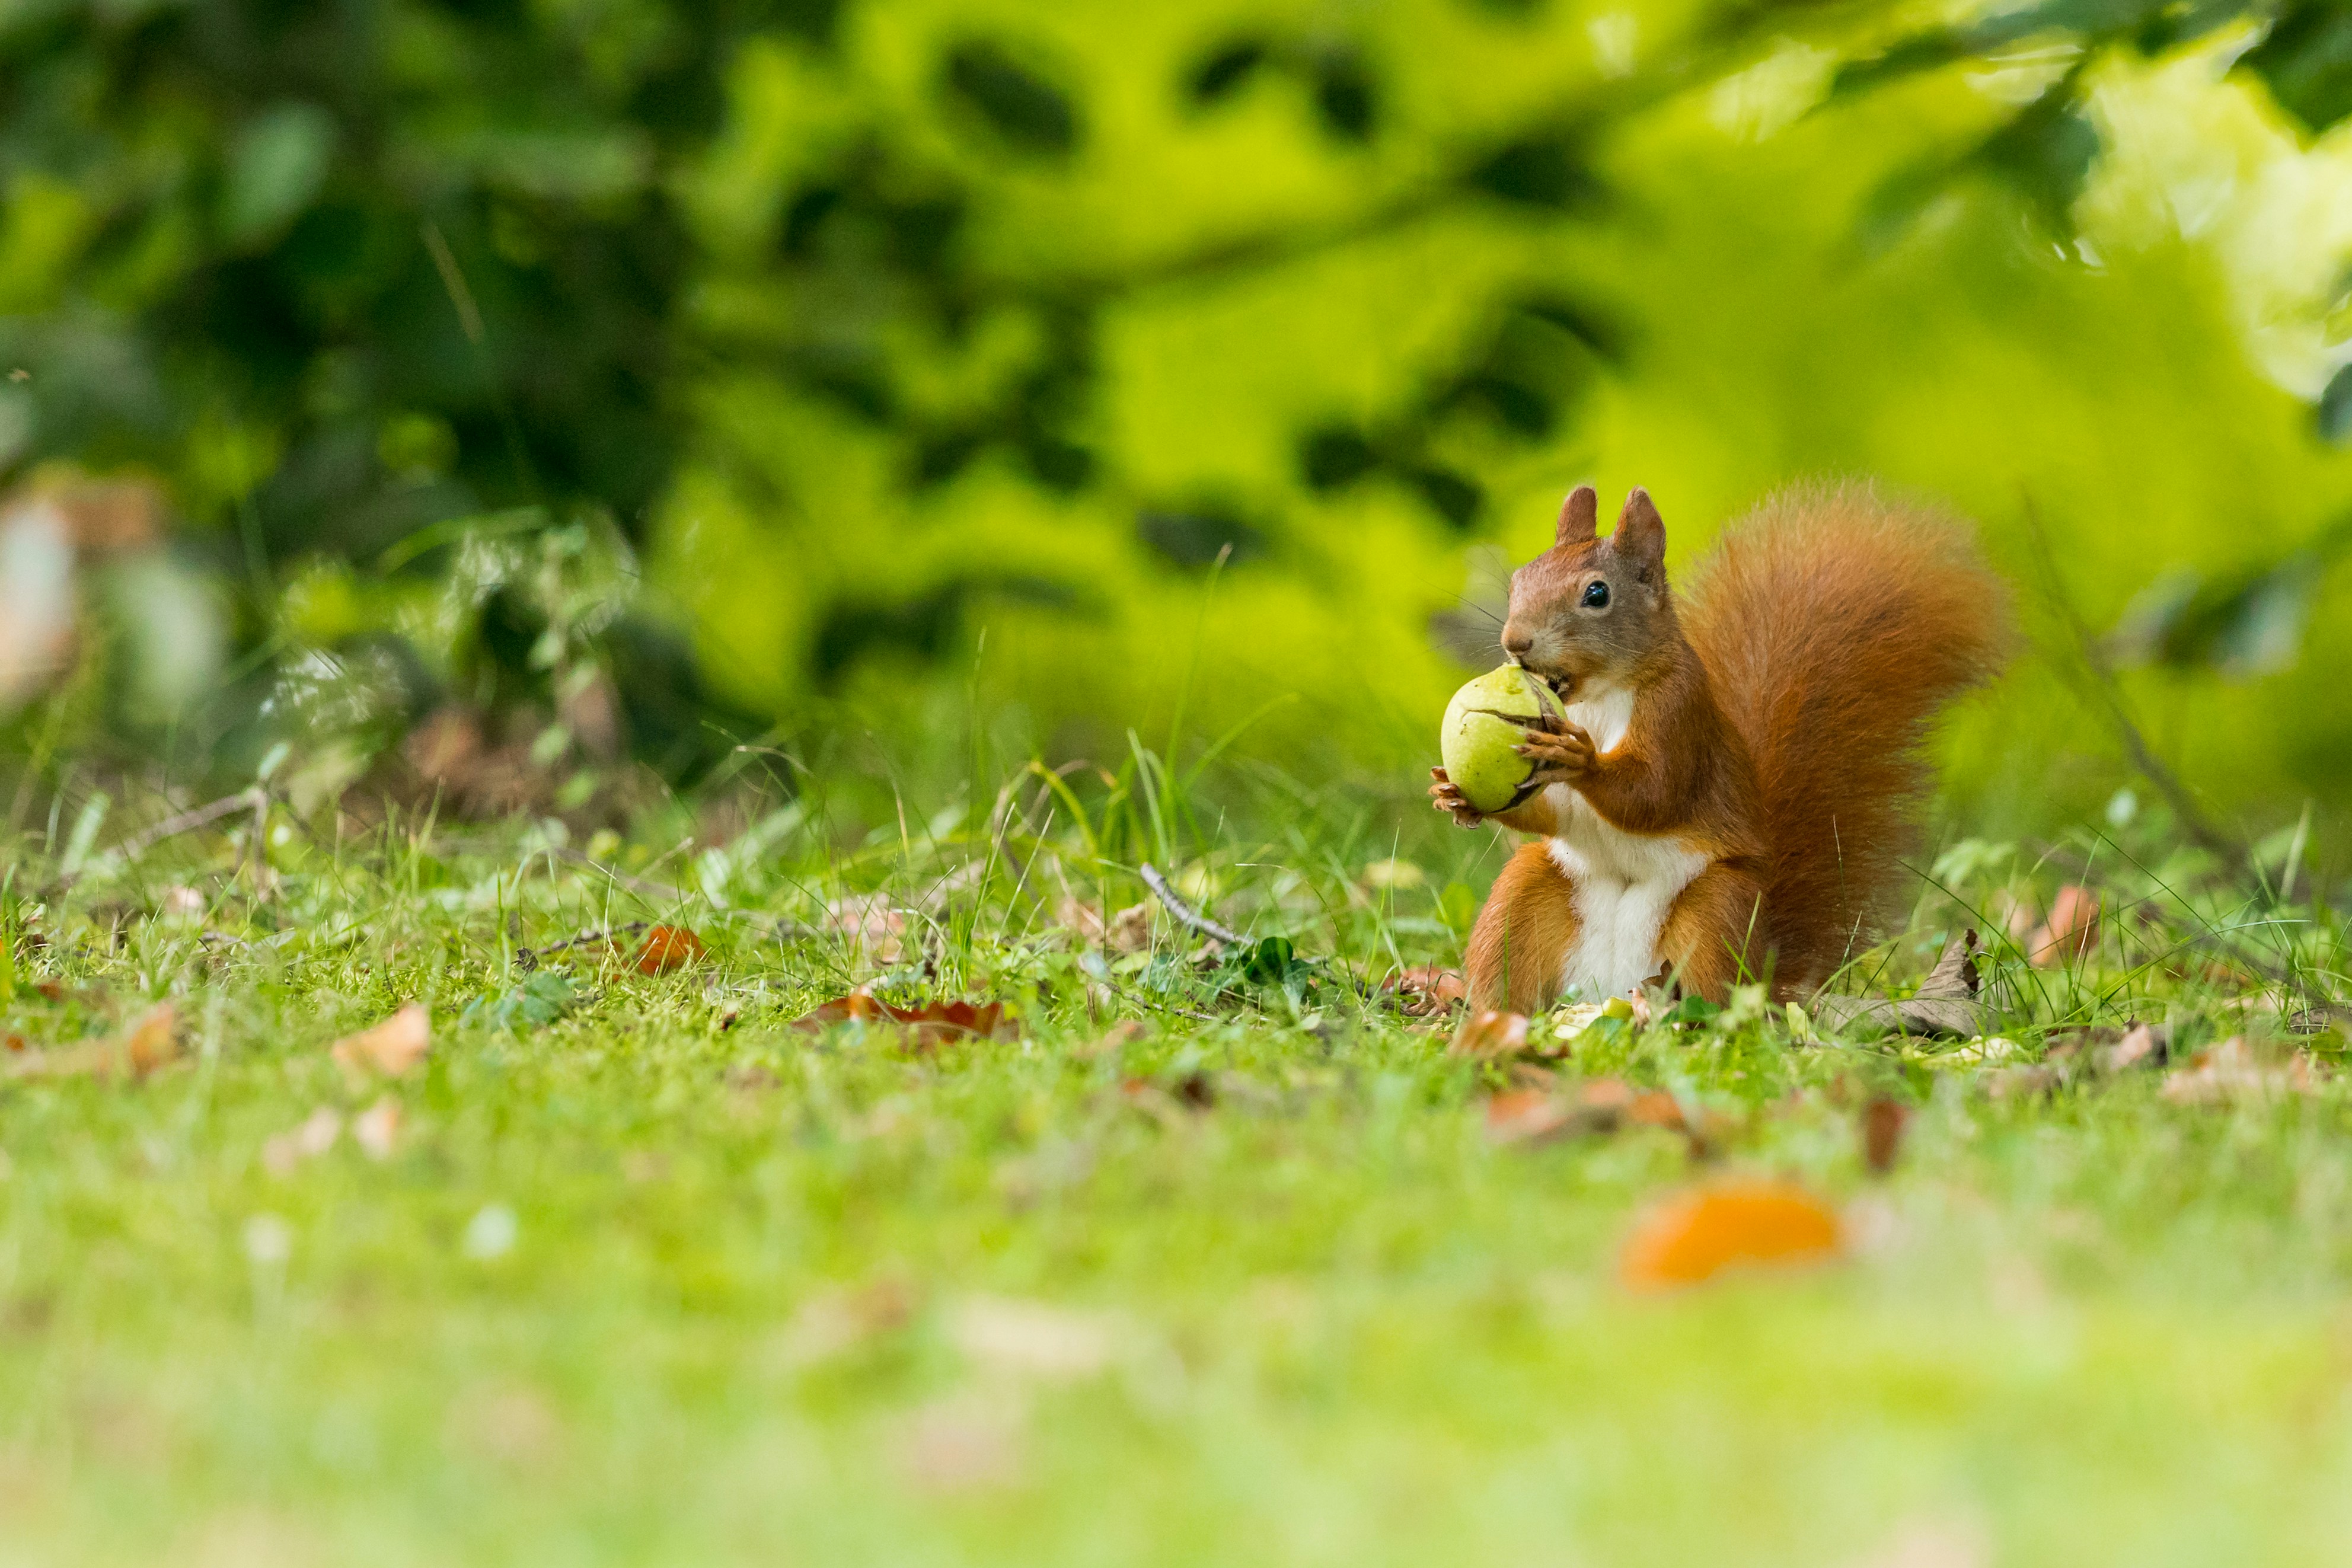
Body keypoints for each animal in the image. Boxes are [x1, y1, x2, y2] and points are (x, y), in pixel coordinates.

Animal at [1429, 480, 2008, 1013]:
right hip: (1526, 897)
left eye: (1596, 595)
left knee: (1715, 988)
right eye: (1518, 580)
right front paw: (1453, 795)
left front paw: (1582, 758)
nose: (1515, 642)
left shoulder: (1678, 712)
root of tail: (1610, 988)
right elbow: (1551, 814)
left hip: (1715, 911)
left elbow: (1656, 793)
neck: (1596, 695)